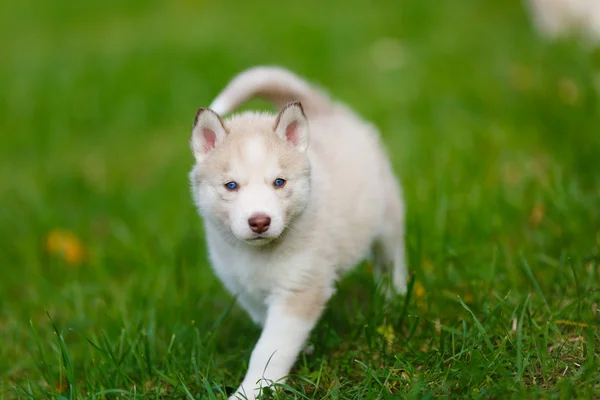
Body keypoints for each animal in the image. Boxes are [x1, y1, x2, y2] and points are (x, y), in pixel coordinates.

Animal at [189, 67, 408, 398]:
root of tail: (326, 112)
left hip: (387, 221)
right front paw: (302, 349)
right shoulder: (243, 287)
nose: (259, 221)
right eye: (231, 185)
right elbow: (267, 327)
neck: (259, 255)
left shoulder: (301, 287)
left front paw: (252, 390)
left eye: (279, 182)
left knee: (392, 258)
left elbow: (269, 349)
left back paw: (396, 295)